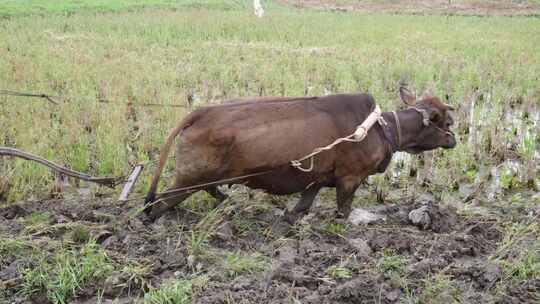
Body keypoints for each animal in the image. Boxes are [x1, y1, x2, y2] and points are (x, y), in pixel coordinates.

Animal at [144, 87, 456, 221]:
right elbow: (343, 211)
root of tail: (201, 112)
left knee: (209, 191)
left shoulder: (315, 180)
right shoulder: (349, 179)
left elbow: (301, 208)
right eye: (444, 121)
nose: (453, 139)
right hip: (188, 179)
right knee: (159, 204)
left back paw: (226, 202)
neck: (381, 129)